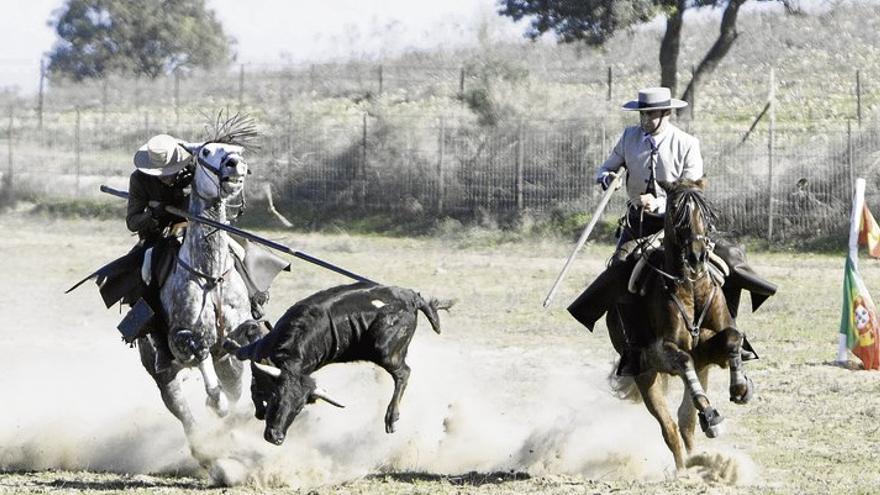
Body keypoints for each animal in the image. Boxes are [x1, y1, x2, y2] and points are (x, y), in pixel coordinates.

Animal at [225, 282, 454, 446]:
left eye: (299, 408)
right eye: (276, 397)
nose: (276, 437)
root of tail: (412, 297)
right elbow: (253, 383)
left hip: (386, 351)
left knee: (404, 373)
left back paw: (391, 418)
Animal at [608, 177, 752, 468]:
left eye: (707, 213)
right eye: (676, 212)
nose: (697, 257)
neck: (691, 287)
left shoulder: (709, 352)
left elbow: (732, 338)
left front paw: (740, 386)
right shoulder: (664, 352)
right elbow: (682, 359)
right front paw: (712, 415)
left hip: (701, 369)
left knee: (685, 423)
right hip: (644, 374)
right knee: (670, 429)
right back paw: (685, 466)